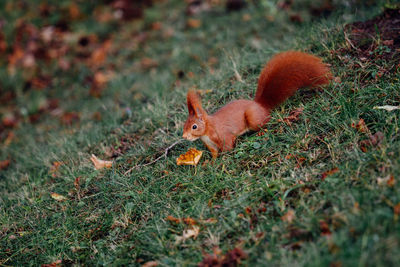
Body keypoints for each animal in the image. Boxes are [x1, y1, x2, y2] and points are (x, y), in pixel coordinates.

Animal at [183, 51, 332, 158]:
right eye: (185, 125)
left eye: (194, 126)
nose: (184, 136)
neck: (207, 131)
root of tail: (261, 105)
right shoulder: (211, 145)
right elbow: (214, 154)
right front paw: (211, 164)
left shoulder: (224, 135)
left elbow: (228, 147)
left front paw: (223, 160)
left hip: (253, 118)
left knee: (266, 122)